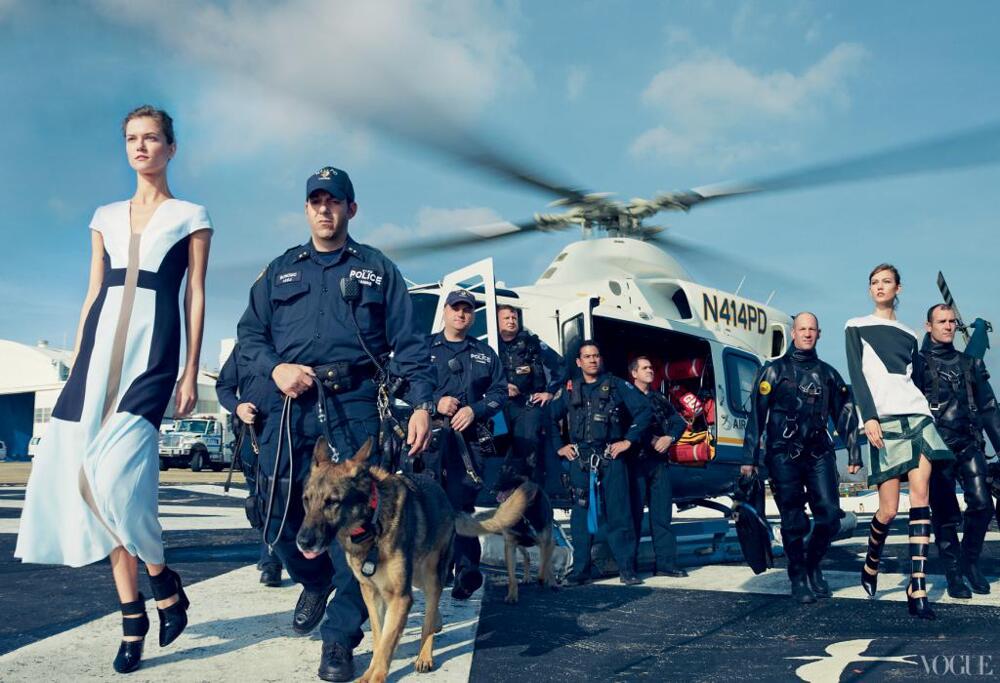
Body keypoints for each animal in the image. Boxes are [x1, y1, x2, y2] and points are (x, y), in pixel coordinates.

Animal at [294, 438, 532, 683]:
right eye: (306, 500)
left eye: (333, 502)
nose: (303, 542)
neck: (372, 523)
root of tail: (446, 499)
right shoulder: (371, 593)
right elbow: (379, 636)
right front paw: (371, 669)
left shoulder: (400, 597)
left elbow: (387, 643)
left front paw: (377, 676)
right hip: (416, 578)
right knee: (430, 611)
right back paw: (436, 624)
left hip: (431, 576)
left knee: (429, 613)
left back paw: (425, 655)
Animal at [490, 464, 556, 604]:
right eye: (500, 470)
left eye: (514, 471)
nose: (495, 486)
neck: (525, 511)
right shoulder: (510, 544)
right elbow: (512, 577)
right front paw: (512, 596)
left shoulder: (545, 542)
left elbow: (543, 566)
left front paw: (543, 579)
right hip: (519, 543)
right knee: (527, 556)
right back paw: (527, 577)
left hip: (546, 541)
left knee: (547, 560)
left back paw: (552, 582)